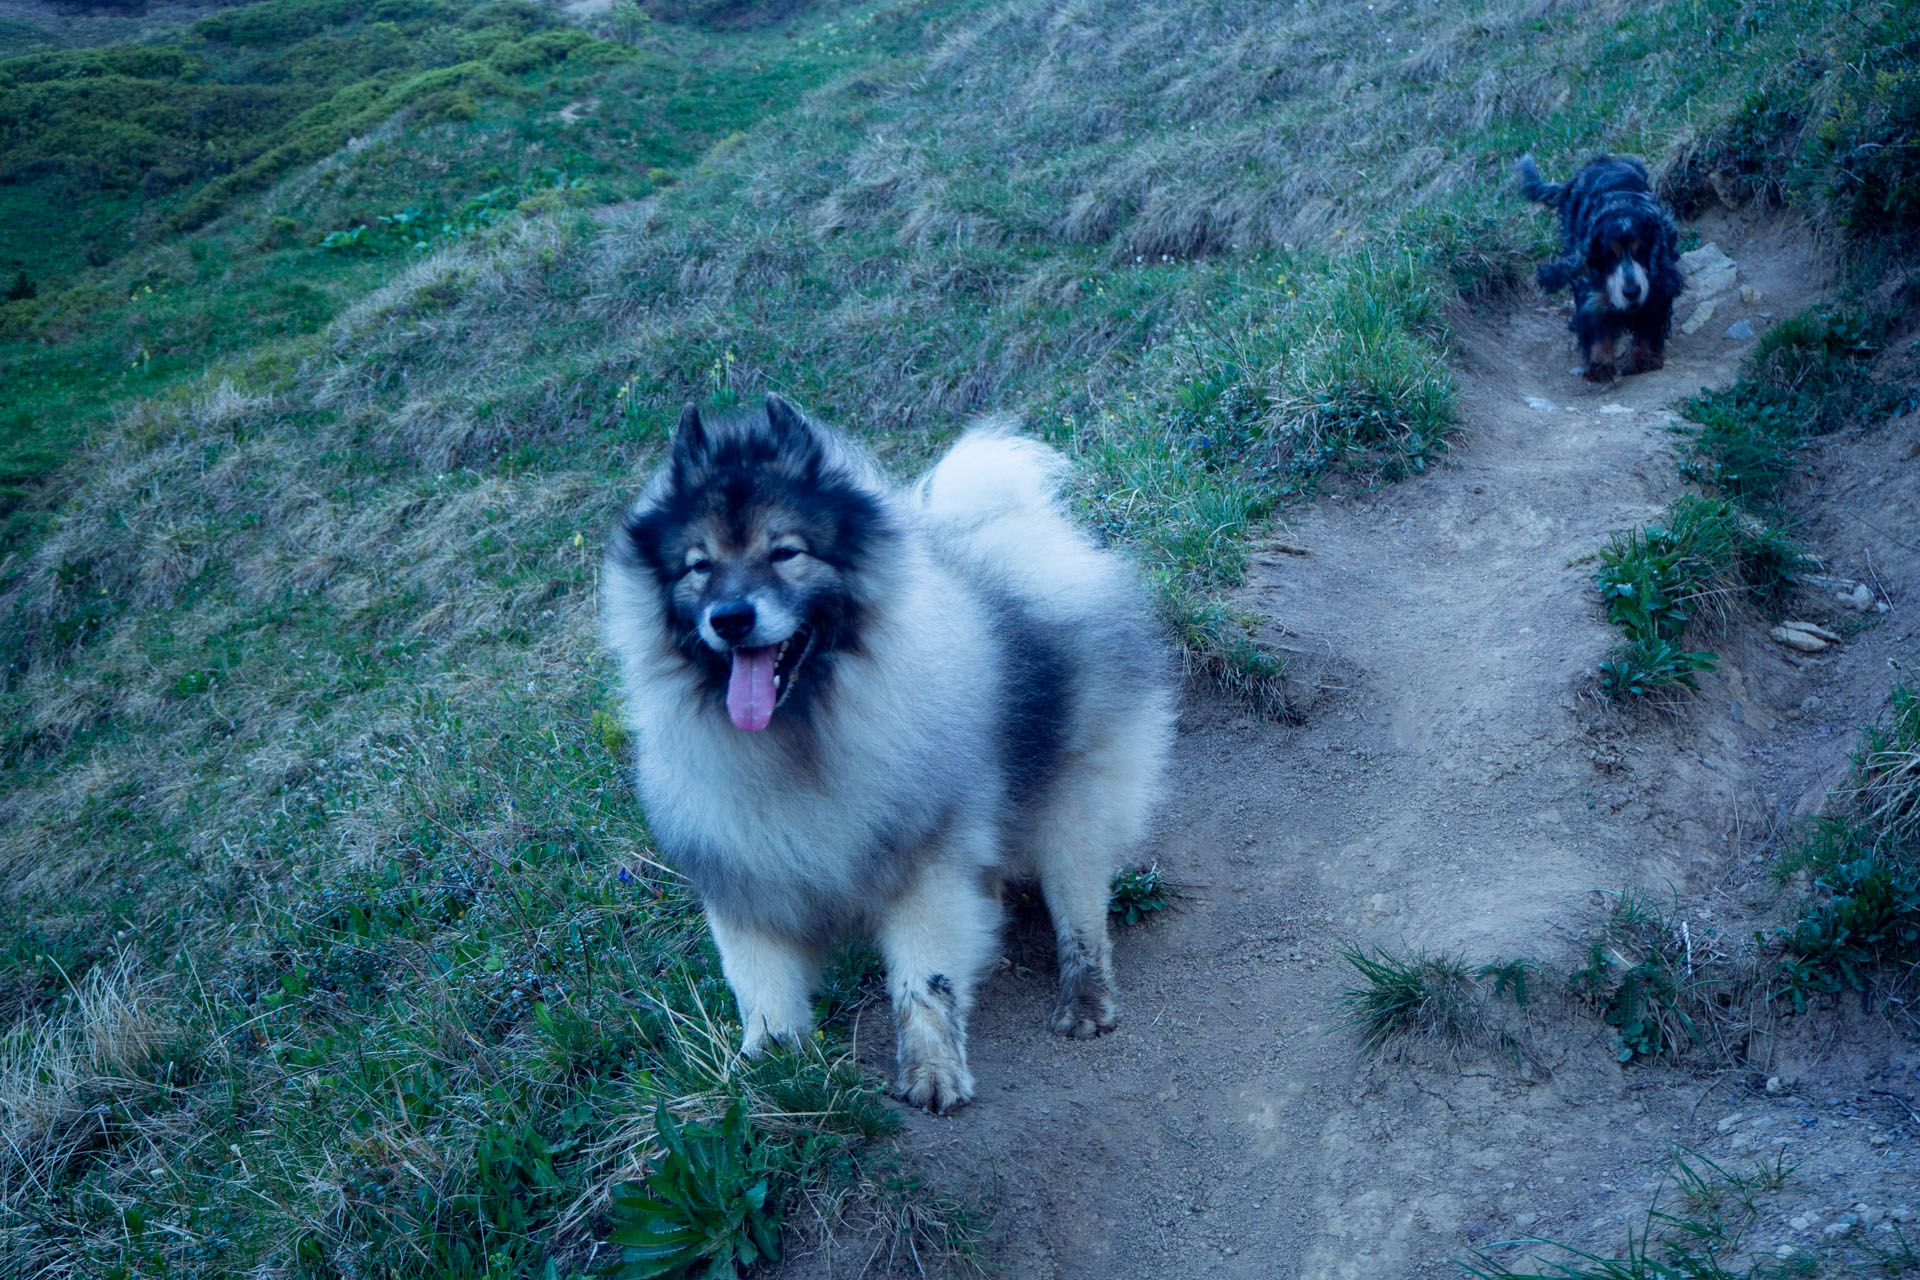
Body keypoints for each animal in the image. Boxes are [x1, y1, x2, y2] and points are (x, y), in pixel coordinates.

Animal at [599, 395, 1167, 1113]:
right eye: (699, 565)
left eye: (785, 553)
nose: (730, 617)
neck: (802, 735)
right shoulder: (743, 877)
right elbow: (762, 990)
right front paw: (769, 1078)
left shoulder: (925, 868)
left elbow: (923, 981)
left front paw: (932, 1072)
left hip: (1076, 804)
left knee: (1082, 914)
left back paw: (1085, 1000)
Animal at [1520, 153, 1674, 379]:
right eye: (1610, 256)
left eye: (1641, 251)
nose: (1631, 292)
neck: (1619, 205)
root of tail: (1603, 159)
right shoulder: (1590, 287)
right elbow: (1596, 323)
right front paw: (1599, 364)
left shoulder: (1657, 287)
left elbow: (1648, 326)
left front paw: (1641, 358)